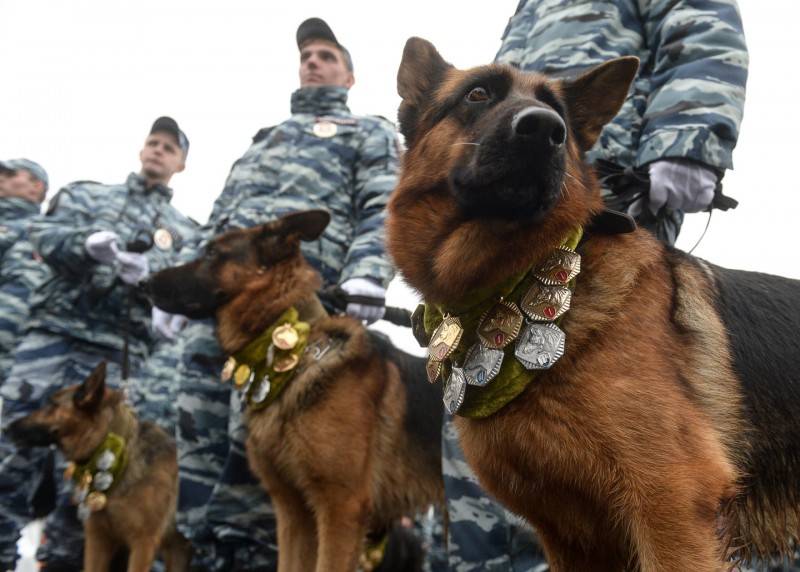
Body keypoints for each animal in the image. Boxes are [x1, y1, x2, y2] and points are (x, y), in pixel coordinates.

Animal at [388, 38, 800, 568]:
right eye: (477, 94)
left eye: (558, 110)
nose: (545, 128)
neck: (514, 282)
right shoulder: (574, 539)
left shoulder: (672, 506)